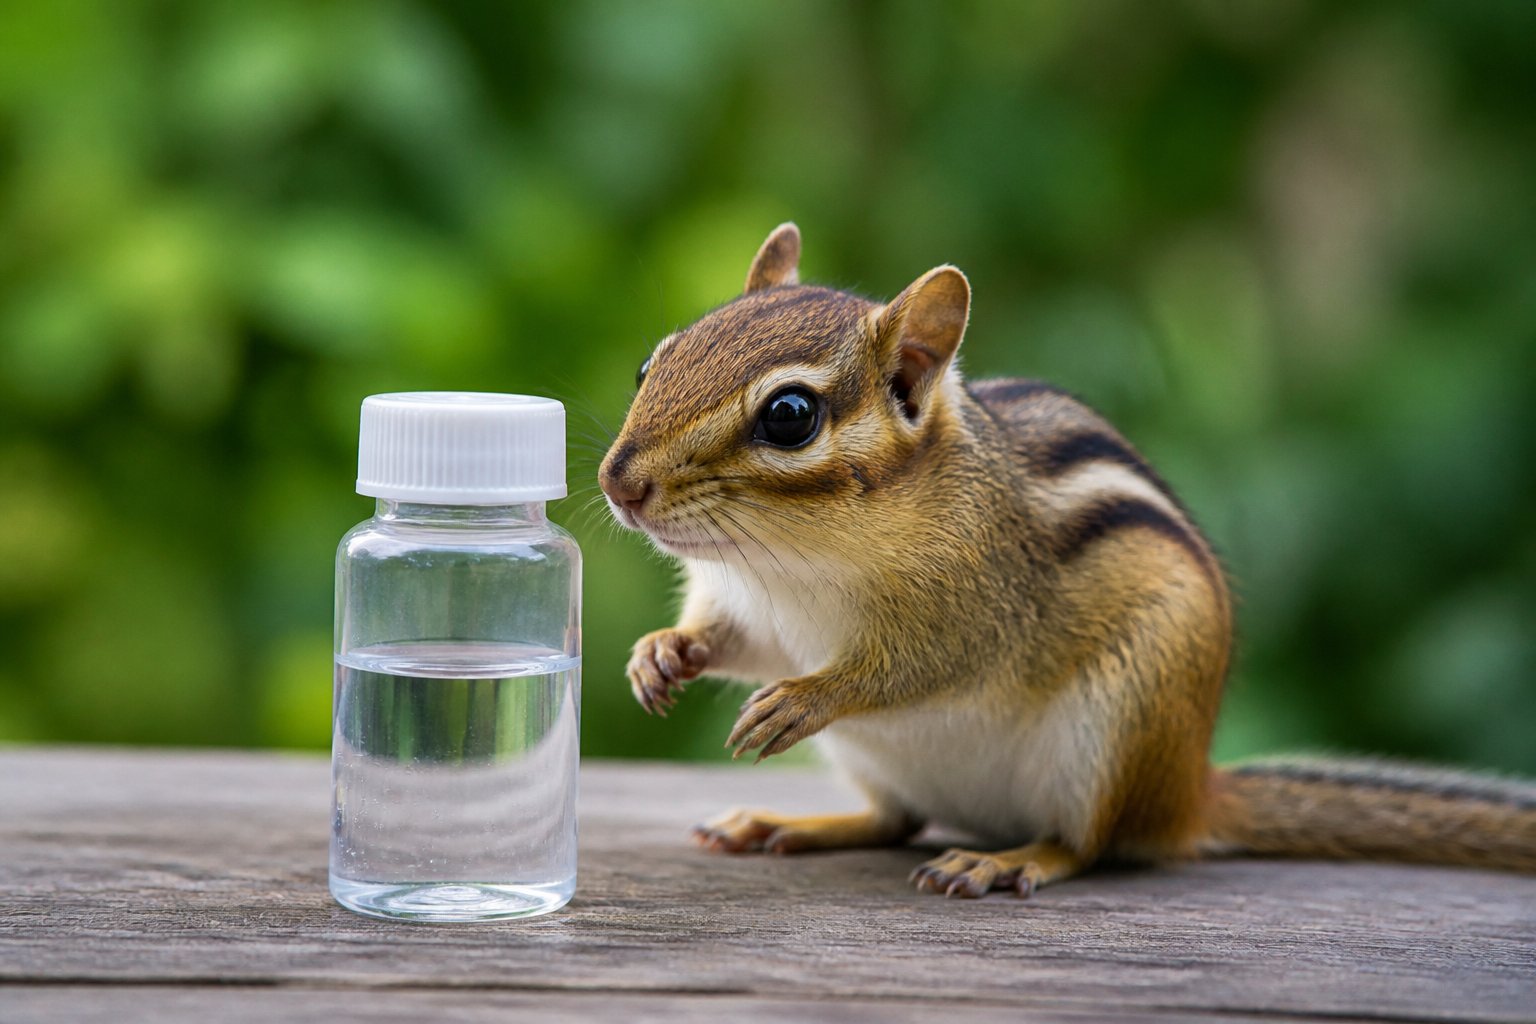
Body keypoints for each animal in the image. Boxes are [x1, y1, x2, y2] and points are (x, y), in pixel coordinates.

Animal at [598, 223, 1536, 898]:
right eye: (653, 361)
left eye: (790, 415)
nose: (619, 482)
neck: (792, 561)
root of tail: (1190, 790)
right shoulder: (750, 610)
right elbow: (731, 640)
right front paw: (660, 655)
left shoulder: (983, 601)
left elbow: (916, 665)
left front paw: (807, 696)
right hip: (884, 763)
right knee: (898, 820)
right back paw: (787, 825)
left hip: (1116, 729)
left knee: (1094, 844)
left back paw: (1010, 859)